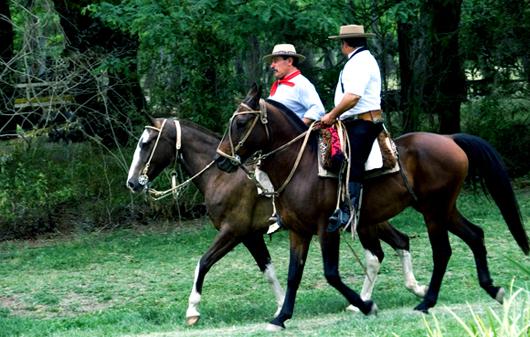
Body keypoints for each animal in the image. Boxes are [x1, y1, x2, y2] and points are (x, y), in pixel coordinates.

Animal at [126, 117, 426, 324]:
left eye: (145, 143)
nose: (132, 183)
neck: (222, 177)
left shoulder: (233, 232)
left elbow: (204, 262)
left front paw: (192, 310)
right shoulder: (251, 236)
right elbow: (269, 271)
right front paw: (282, 306)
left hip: (366, 222)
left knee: (378, 253)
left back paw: (365, 301)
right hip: (370, 221)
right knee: (399, 242)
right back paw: (414, 289)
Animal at [212, 84, 524, 330]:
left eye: (241, 123)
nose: (221, 160)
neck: (300, 166)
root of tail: (449, 139)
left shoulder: (327, 228)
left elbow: (331, 274)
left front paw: (366, 306)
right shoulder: (298, 232)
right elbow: (293, 274)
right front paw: (281, 317)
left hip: (434, 211)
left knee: (442, 251)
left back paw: (426, 302)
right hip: (442, 208)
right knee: (474, 234)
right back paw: (492, 289)